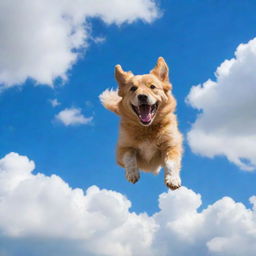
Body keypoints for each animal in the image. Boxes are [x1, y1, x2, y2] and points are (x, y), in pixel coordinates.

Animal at [99, 58, 182, 190]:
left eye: (152, 87)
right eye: (133, 88)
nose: (142, 96)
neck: (146, 128)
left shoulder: (172, 145)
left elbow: (171, 162)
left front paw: (172, 179)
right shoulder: (122, 149)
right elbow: (129, 155)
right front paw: (132, 173)